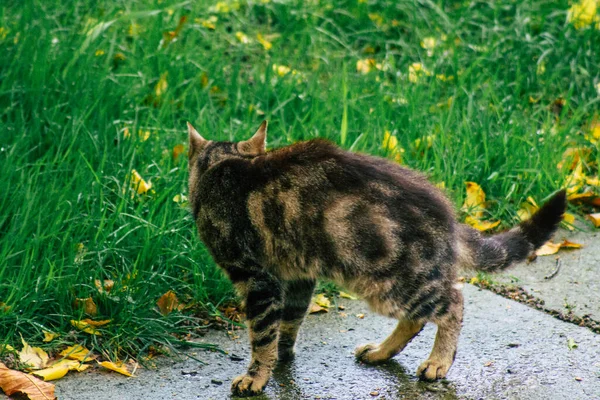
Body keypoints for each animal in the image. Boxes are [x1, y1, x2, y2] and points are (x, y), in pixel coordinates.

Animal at [186, 120, 568, 396]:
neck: (224, 167)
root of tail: (450, 219)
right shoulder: (297, 276)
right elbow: (290, 321)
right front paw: (284, 355)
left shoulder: (256, 278)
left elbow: (263, 333)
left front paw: (256, 376)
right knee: (417, 318)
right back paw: (381, 352)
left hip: (391, 284)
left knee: (453, 304)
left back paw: (438, 361)